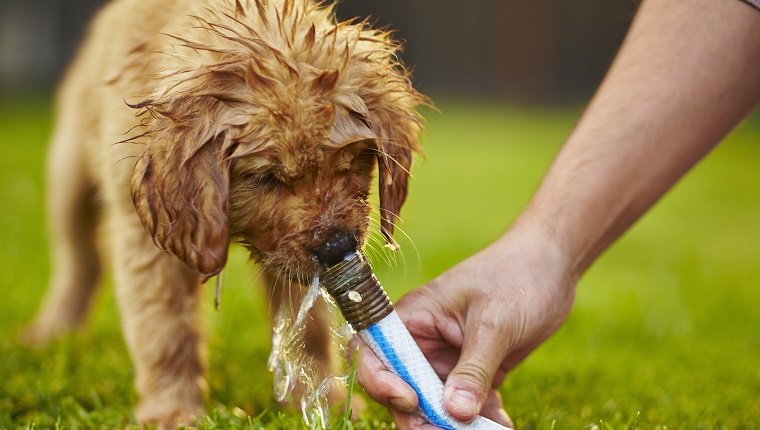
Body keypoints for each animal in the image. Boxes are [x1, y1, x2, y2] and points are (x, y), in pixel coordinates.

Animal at [23, 0, 424, 426]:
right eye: (267, 177)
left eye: (350, 162)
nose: (336, 247)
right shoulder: (144, 237)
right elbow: (165, 328)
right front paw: (172, 411)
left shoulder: (291, 256)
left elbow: (311, 327)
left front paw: (324, 401)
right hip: (69, 171)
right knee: (79, 257)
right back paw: (52, 330)